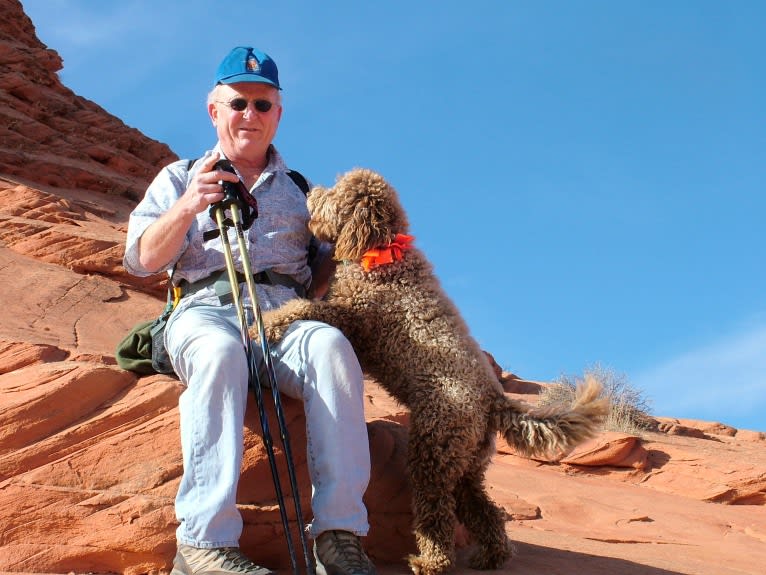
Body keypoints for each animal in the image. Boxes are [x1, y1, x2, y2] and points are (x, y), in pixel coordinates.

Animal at [258, 169, 612, 575]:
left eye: (337, 193)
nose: (311, 192)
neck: (382, 250)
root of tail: (494, 398)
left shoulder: (355, 317)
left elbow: (303, 306)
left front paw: (265, 323)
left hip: (433, 449)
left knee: (436, 511)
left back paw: (431, 561)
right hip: (467, 461)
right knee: (483, 509)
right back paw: (490, 556)